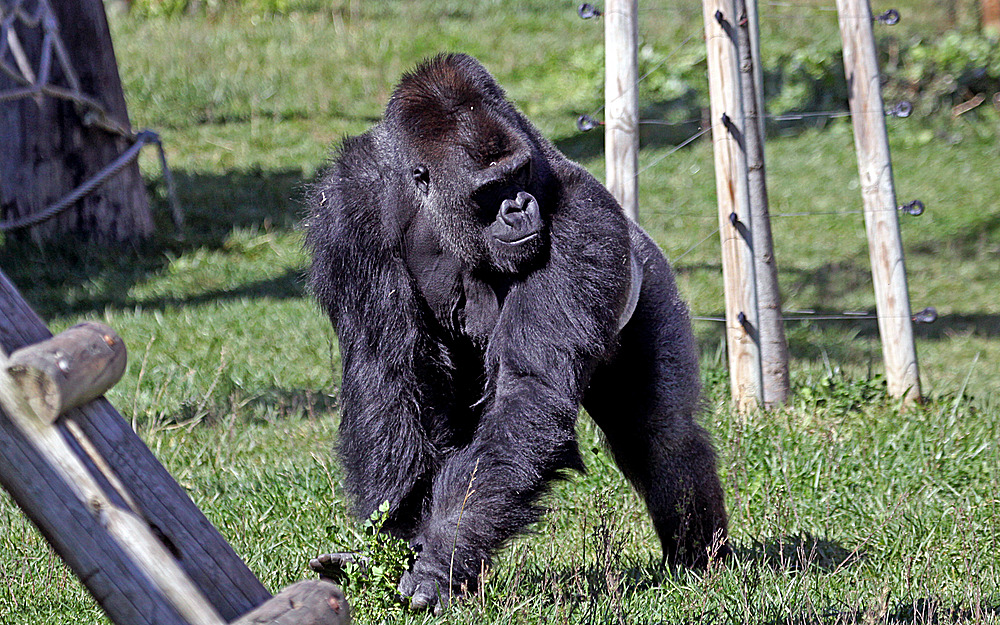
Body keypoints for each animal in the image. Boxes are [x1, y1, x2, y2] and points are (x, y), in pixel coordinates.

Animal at [304, 52, 728, 608]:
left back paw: (702, 558)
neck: (430, 205)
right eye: (490, 190)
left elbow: (529, 391)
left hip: (644, 270)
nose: (521, 206)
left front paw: (439, 560)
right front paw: (394, 541)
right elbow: (389, 374)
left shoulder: (582, 222)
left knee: (659, 433)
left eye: (519, 174)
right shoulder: (348, 209)